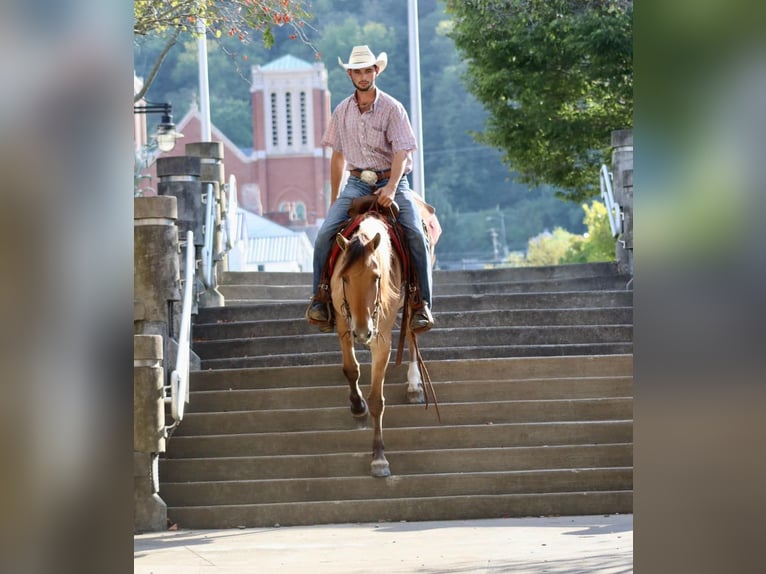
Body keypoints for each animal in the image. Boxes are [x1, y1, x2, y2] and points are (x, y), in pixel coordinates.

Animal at [330, 214, 426, 480]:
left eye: (375, 277)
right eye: (344, 277)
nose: (363, 332)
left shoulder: (382, 339)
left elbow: (377, 400)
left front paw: (379, 459)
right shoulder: (343, 323)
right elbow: (351, 369)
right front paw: (357, 406)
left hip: (412, 303)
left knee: (412, 333)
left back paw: (414, 386)